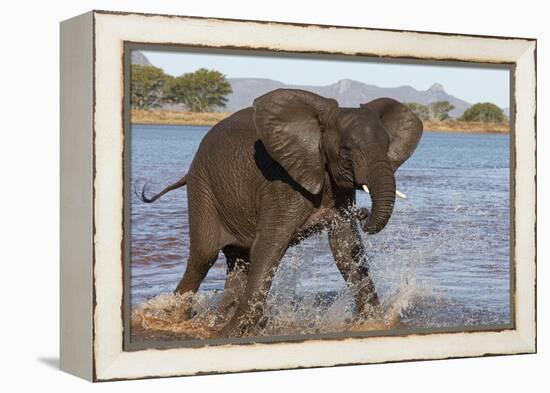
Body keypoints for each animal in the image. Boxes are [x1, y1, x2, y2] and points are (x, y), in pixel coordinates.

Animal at [138, 89, 422, 336]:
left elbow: (344, 248)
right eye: (346, 151)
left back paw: (212, 323)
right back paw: (172, 320)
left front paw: (373, 323)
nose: (362, 212)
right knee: (203, 256)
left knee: (239, 262)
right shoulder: (282, 183)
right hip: (202, 188)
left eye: (387, 146)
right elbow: (269, 247)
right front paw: (234, 333)